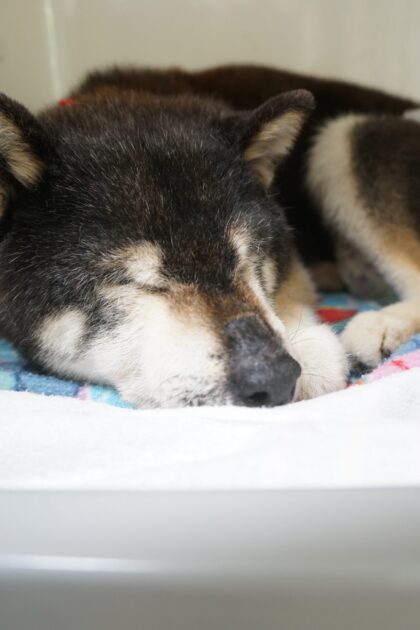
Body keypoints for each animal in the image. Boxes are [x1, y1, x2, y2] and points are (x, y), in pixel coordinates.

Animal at [0, 64, 419, 407]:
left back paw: (381, 325)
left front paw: (308, 343)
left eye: (248, 259)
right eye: (133, 281)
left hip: (343, 138)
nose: (274, 378)